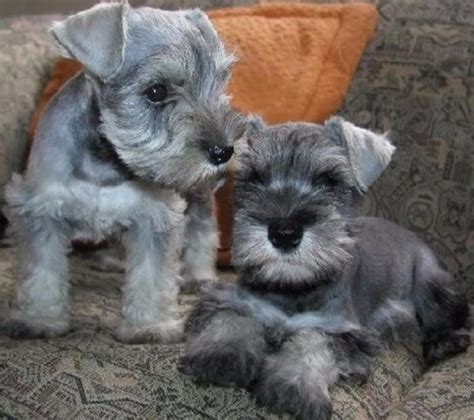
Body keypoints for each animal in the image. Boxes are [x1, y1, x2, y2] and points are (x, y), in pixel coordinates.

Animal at [1, 3, 243, 342]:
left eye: (219, 83)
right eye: (156, 91)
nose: (224, 151)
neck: (108, 161)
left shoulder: (155, 216)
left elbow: (152, 275)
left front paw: (149, 325)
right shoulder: (42, 210)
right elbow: (42, 272)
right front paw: (39, 320)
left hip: (197, 194)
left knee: (202, 231)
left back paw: (200, 276)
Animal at [181, 118, 470, 420]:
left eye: (329, 181)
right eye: (254, 179)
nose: (284, 233)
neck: (295, 288)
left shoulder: (345, 330)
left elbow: (314, 342)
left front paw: (293, 385)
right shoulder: (228, 296)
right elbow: (232, 317)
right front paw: (222, 355)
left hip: (436, 284)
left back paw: (444, 343)